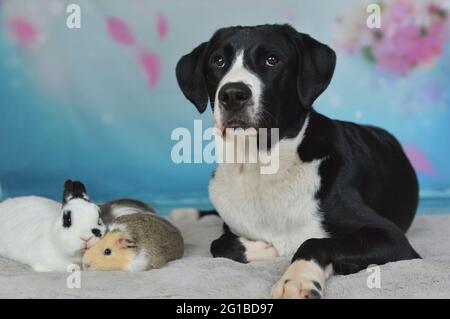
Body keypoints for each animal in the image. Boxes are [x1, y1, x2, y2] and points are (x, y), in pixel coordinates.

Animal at [174, 24, 420, 300]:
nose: (232, 94)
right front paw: (265, 247)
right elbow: (218, 243)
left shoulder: (392, 238)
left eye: (272, 60)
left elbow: (313, 241)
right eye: (218, 61)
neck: (261, 167)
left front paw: (297, 278)